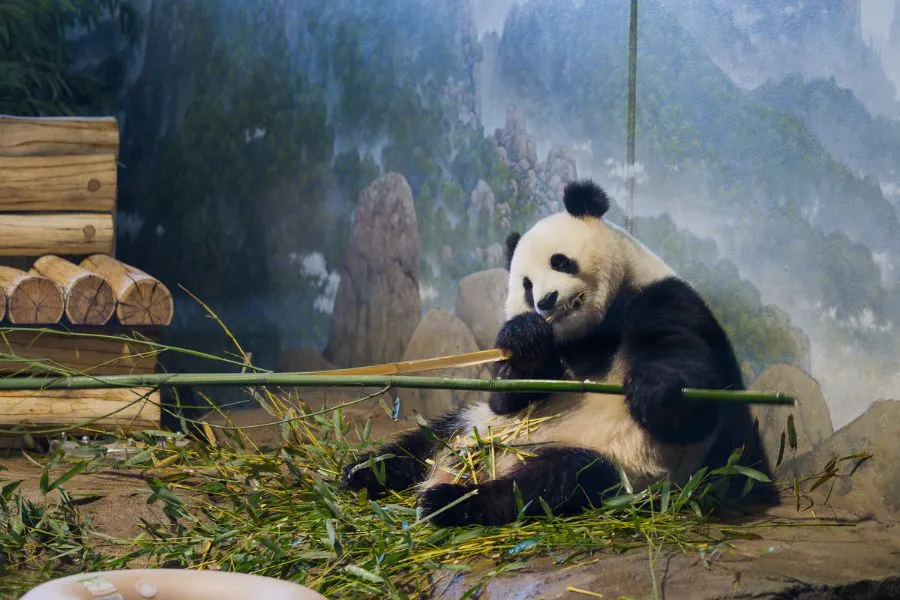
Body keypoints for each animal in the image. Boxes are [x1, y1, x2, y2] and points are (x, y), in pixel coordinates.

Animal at [341, 179, 773, 527]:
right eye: (526, 285)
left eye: (560, 261)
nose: (545, 301)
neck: (593, 328)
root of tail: (482, 465)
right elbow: (508, 394)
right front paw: (525, 337)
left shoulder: (665, 299)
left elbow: (691, 396)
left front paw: (653, 391)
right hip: (472, 427)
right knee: (423, 442)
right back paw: (363, 472)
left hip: (617, 462)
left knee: (552, 483)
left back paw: (448, 502)